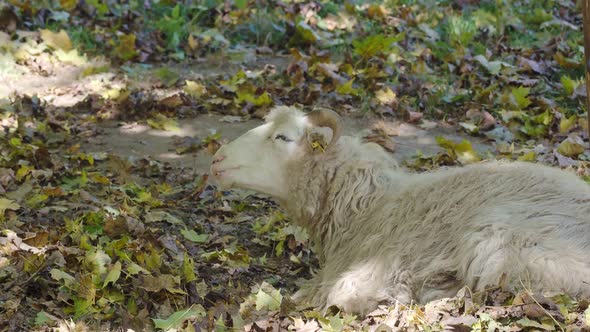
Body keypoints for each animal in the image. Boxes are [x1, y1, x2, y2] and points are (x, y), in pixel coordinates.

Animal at [210, 106, 590, 314]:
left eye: (283, 138)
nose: (217, 160)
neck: (365, 206)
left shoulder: (371, 266)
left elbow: (338, 294)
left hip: (503, 241)